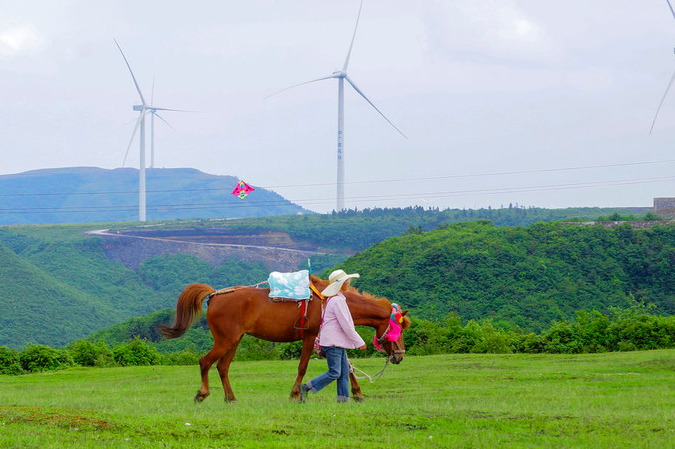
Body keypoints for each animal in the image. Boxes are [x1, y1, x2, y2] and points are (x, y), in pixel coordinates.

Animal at [160, 272, 412, 402]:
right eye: (397, 329)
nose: (399, 356)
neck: (329, 298)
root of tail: (214, 295)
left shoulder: (326, 340)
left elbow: (346, 366)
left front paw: (358, 393)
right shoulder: (311, 337)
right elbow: (303, 367)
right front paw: (296, 393)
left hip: (233, 341)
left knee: (222, 367)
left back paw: (231, 398)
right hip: (225, 340)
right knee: (205, 362)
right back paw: (202, 394)